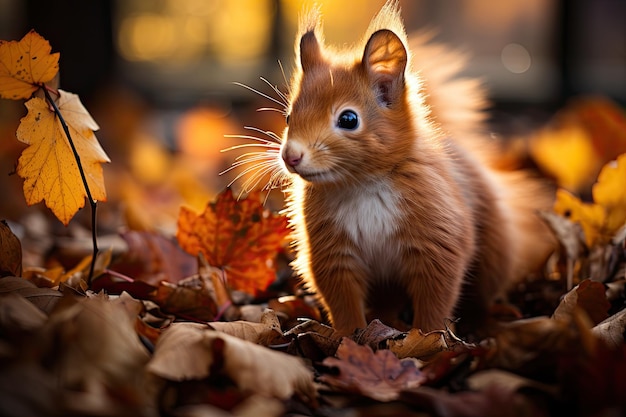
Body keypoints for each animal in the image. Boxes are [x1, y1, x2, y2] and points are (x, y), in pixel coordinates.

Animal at [229, 0, 552, 332]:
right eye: (288, 117)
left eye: (349, 119)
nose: (290, 156)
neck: (363, 184)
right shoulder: (332, 252)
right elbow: (343, 302)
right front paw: (348, 336)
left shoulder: (439, 239)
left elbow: (435, 298)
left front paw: (429, 336)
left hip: (493, 255)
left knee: (482, 295)